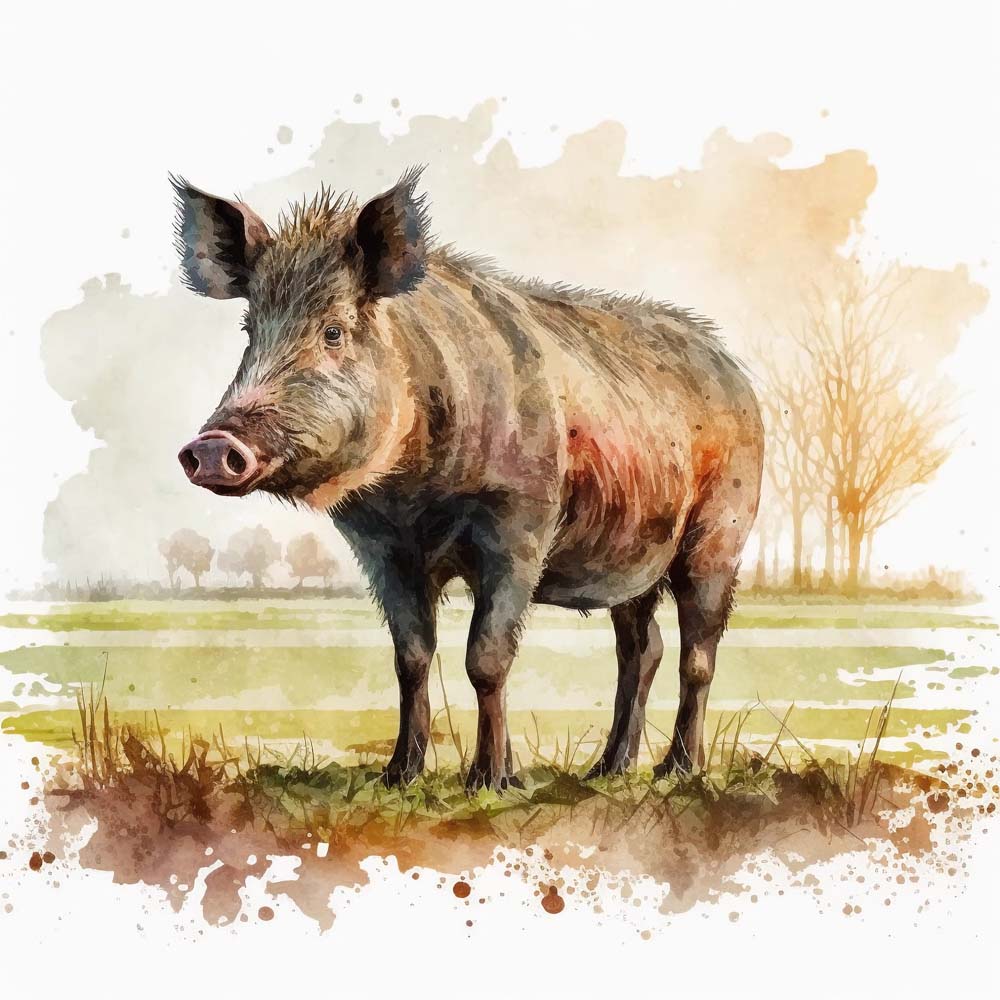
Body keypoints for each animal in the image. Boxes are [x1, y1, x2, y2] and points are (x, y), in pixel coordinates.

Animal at [172, 168, 764, 790]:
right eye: (249, 330)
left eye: (333, 331)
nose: (211, 447)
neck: (413, 493)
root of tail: (735, 371)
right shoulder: (382, 547)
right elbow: (411, 657)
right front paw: (398, 777)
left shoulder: (519, 526)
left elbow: (486, 657)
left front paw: (492, 782)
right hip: (632, 560)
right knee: (642, 650)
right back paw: (606, 772)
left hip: (720, 536)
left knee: (697, 655)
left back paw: (680, 772)